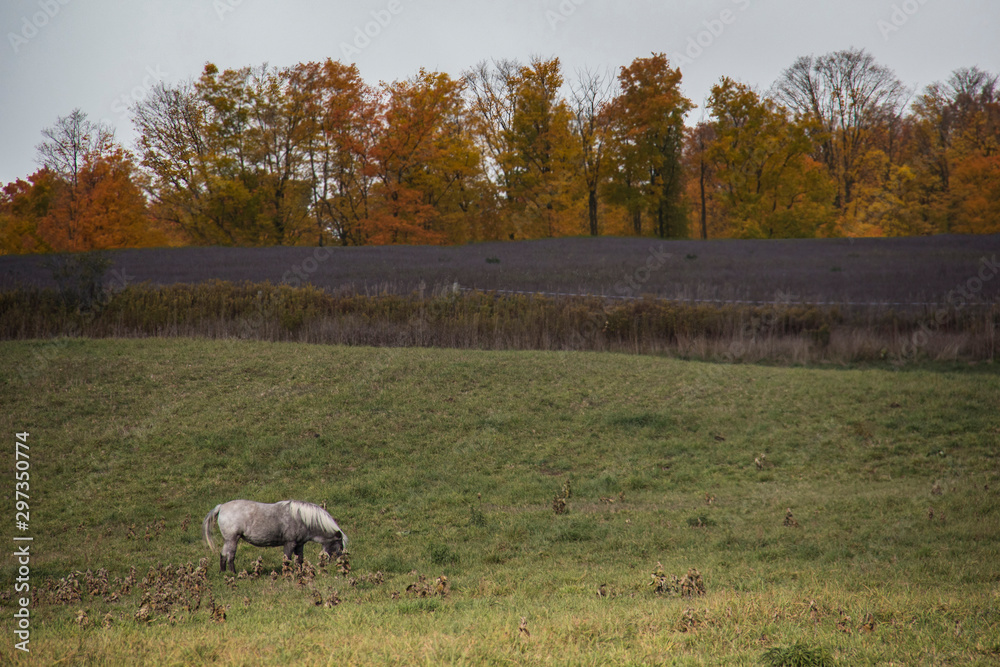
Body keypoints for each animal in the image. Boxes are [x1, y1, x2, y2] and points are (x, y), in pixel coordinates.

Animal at [202, 499, 347, 573]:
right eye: (340, 546)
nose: (339, 564)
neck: (302, 518)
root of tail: (221, 507)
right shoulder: (290, 543)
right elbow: (287, 559)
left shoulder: (299, 544)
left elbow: (299, 560)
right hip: (233, 539)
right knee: (230, 557)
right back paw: (233, 574)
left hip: (228, 540)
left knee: (223, 555)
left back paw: (223, 573)